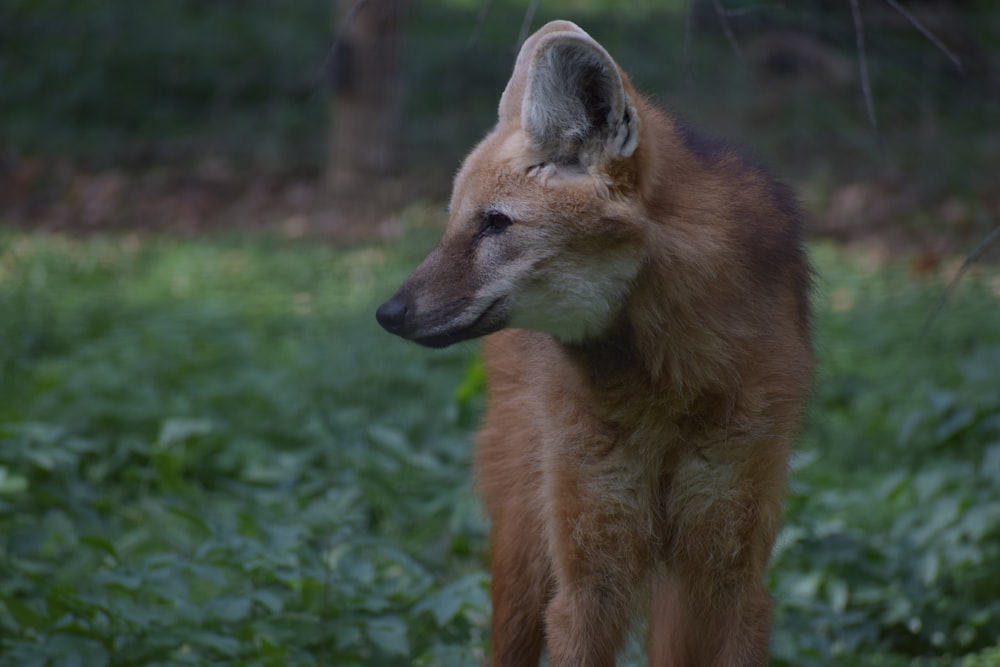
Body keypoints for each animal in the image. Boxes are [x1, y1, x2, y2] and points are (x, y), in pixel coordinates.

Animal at [376, 19, 812, 667]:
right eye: (453, 222)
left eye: (496, 223)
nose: (389, 313)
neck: (668, 379)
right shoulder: (590, 574)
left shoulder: (730, 568)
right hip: (527, 538)